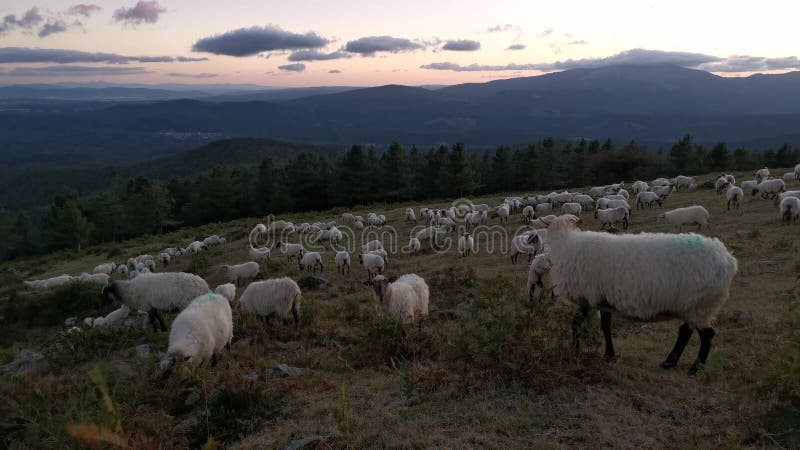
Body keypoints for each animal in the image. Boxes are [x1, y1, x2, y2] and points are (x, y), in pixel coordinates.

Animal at [548, 214, 736, 372]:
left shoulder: (586, 298)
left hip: (701, 305)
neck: (566, 244)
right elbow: (605, 326)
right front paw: (608, 355)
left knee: (707, 335)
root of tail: (727, 259)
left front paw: (575, 350)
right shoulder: (603, 300)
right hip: (692, 306)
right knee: (686, 331)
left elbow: (576, 324)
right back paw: (670, 362)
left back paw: (696, 368)